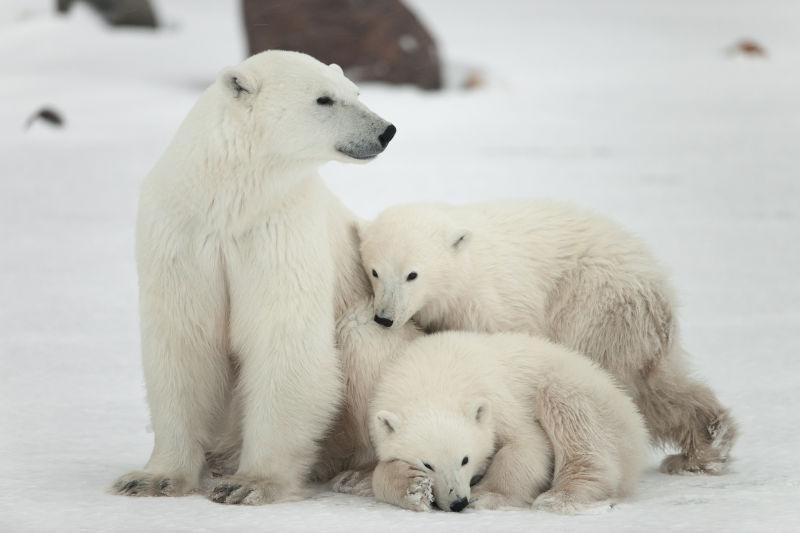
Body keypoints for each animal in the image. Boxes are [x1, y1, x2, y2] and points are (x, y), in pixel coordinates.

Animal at [111, 50, 398, 502]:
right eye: (324, 99)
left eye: (355, 92)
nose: (386, 130)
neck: (231, 198)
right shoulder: (182, 234)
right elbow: (184, 341)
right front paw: (152, 479)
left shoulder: (279, 231)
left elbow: (281, 337)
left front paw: (249, 484)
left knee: (362, 341)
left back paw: (361, 474)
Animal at [360, 201, 736, 474]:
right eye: (375, 271)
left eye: (412, 274)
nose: (384, 317)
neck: (466, 273)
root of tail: (659, 283)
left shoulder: (497, 305)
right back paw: (705, 445)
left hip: (596, 305)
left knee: (628, 382)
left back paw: (702, 447)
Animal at [368, 332, 648, 512]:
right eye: (428, 464)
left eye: (465, 459)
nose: (458, 503)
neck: (434, 376)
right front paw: (413, 489)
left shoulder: (496, 397)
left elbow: (526, 445)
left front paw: (485, 496)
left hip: (592, 401)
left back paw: (559, 497)